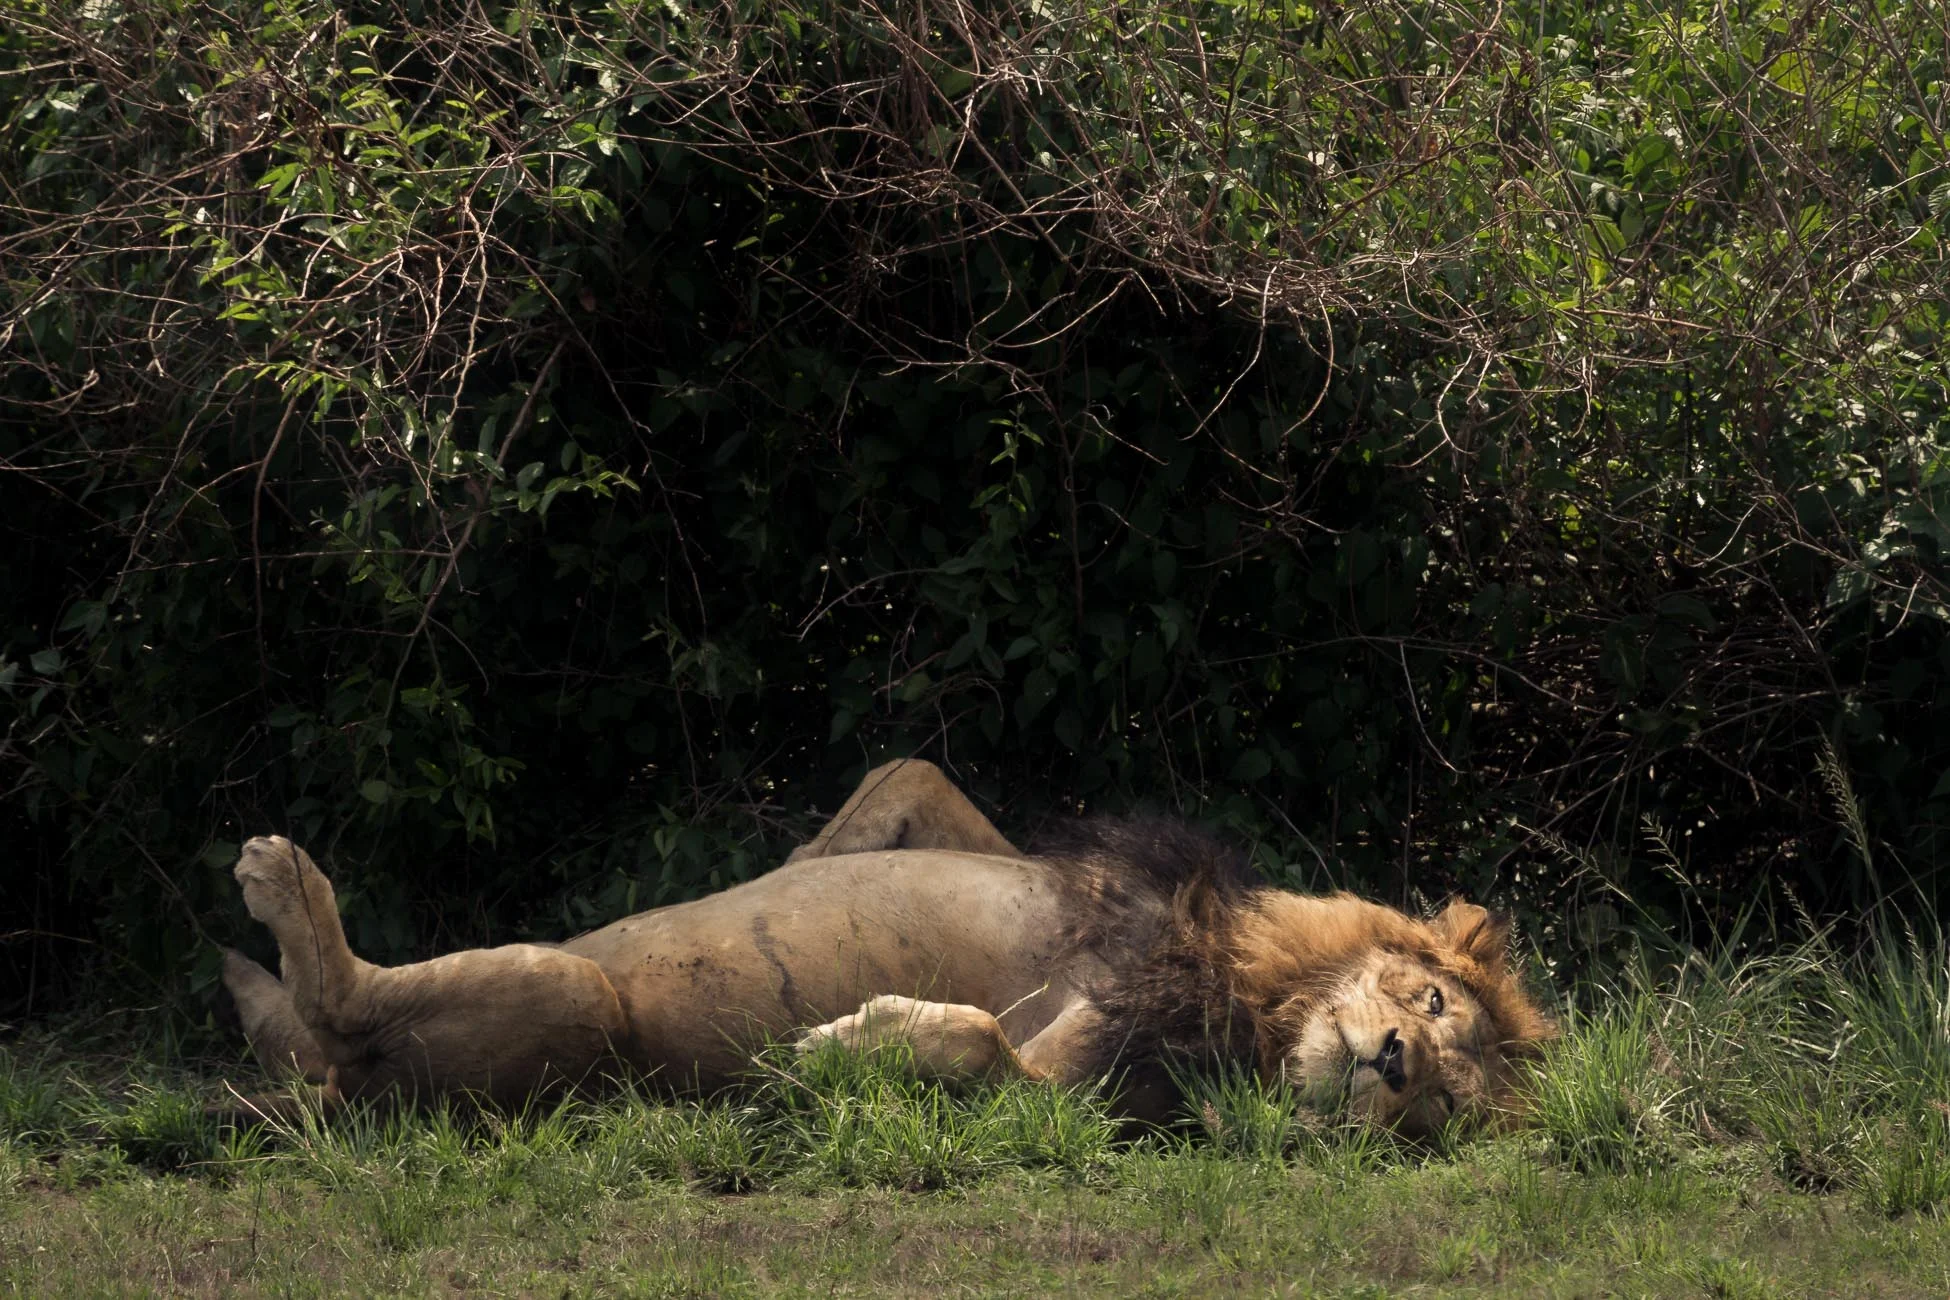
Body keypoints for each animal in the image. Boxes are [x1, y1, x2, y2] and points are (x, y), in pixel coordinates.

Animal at [221, 759, 1554, 1135]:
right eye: (1438, 1005)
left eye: (1444, 1111)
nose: (1396, 1066)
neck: (1252, 989)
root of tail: (333, 1094)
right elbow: (898, 785)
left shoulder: (1085, 1081)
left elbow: (979, 1047)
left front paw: (837, 1047)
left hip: (578, 1016)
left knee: (352, 1005)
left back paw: (286, 900)